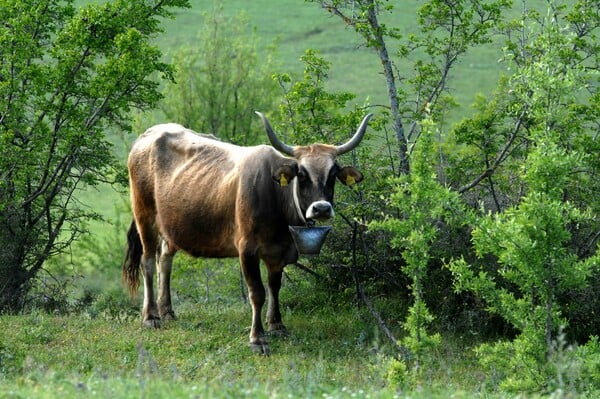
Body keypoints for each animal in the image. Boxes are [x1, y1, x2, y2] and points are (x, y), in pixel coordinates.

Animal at [123, 111, 370, 354]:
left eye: (333, 173)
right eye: (301, 174)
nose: (321, 208)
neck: (276, 200)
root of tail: (148, 135)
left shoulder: (279, 252)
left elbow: (275, 287)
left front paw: (277, 325)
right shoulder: (247, 250)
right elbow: (257, 292)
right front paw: (257, 338)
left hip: (171, 226)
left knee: (164, 260)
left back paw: (167, 311)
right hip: (144, 216)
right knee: (147, 262)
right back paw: (151, 316)